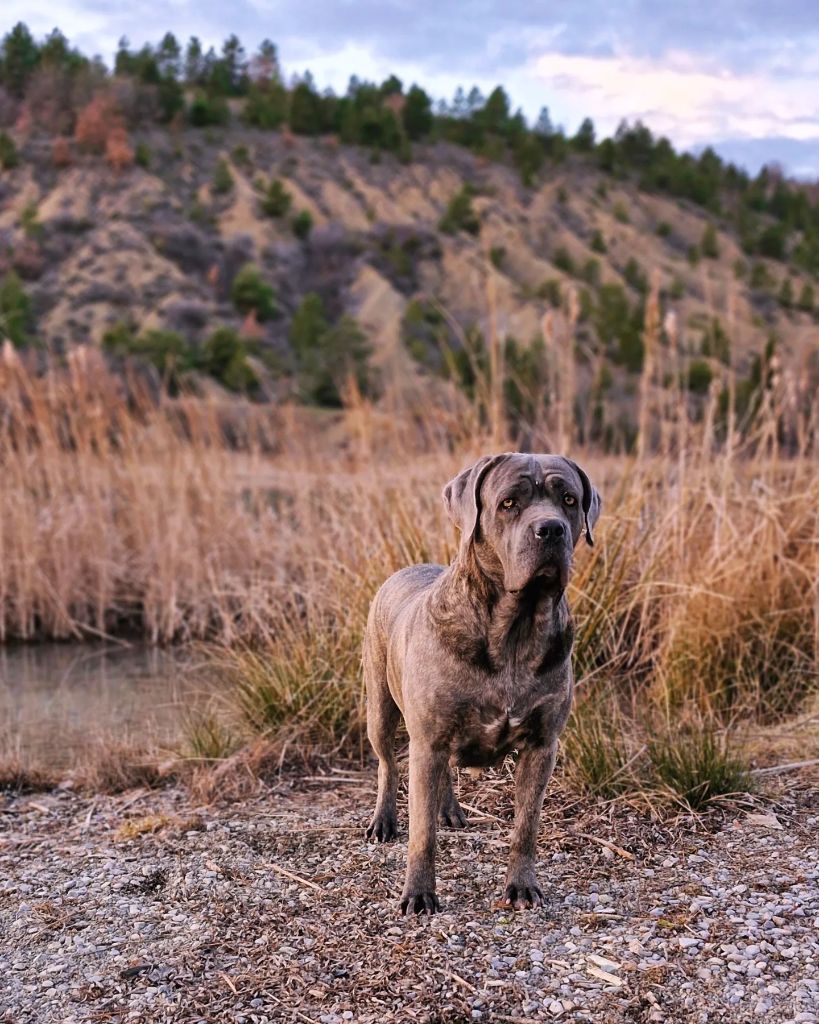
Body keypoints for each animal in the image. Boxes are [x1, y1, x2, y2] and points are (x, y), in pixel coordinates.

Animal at [364, 452, 601, 917]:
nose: (551, 529)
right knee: (388, 763)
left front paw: (521, 886)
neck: (514, 628)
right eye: (509, 502)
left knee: (440, 774)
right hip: (380, 708)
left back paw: (449, 810)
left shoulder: (542, 745)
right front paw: (419, 893)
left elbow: (526, 826)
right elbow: (422, 834)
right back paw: (384, 820)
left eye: (569, 499)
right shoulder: (428, 737)